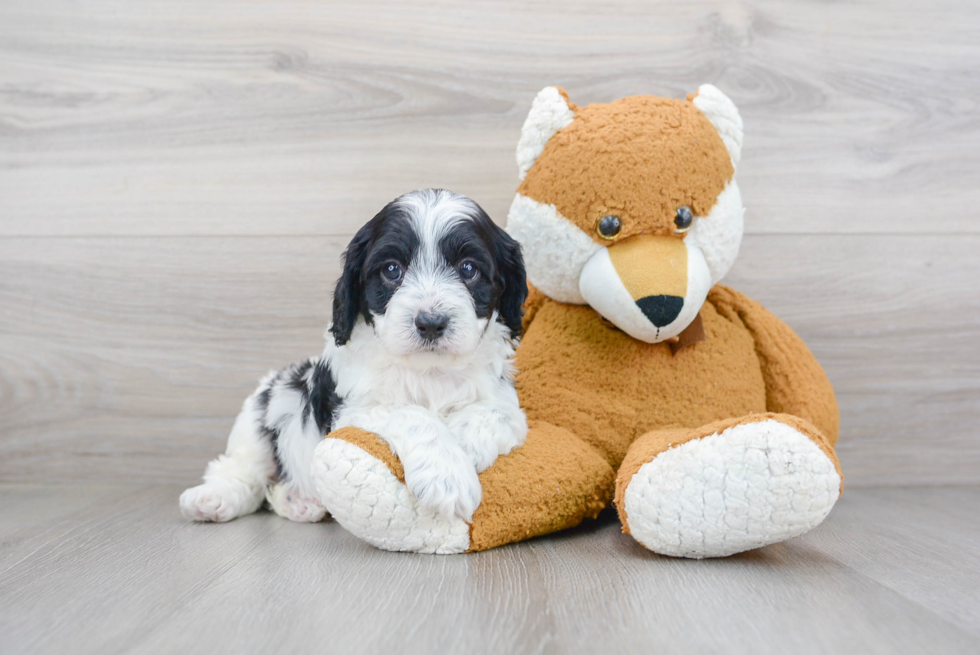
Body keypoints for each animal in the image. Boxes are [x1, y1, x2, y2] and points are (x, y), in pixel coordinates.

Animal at [176, 190, 528, 524]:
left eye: (468, 269)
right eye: (392, 270)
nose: (430, 322)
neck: (428, 371)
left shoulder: (503, 396)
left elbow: (499, 412)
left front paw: (463, 441)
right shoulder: (352, 411)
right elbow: (411, 414)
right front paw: (447, 475)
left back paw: (301, 503)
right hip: (265, 405)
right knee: (244, 469)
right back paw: (214, 499)